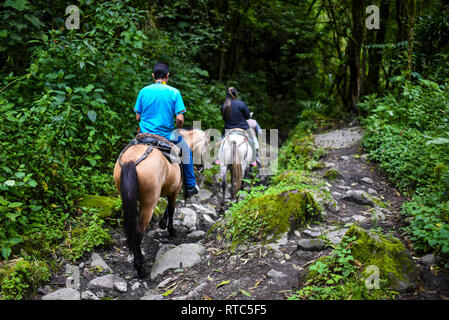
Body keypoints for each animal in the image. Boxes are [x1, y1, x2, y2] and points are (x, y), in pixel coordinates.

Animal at [113, 139, 181, 278]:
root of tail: (130, 161)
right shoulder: (175, 191)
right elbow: (171, 209)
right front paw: (171, 230)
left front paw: (162, 224)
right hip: (149, 204)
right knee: (138, 233)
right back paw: (140, 269)